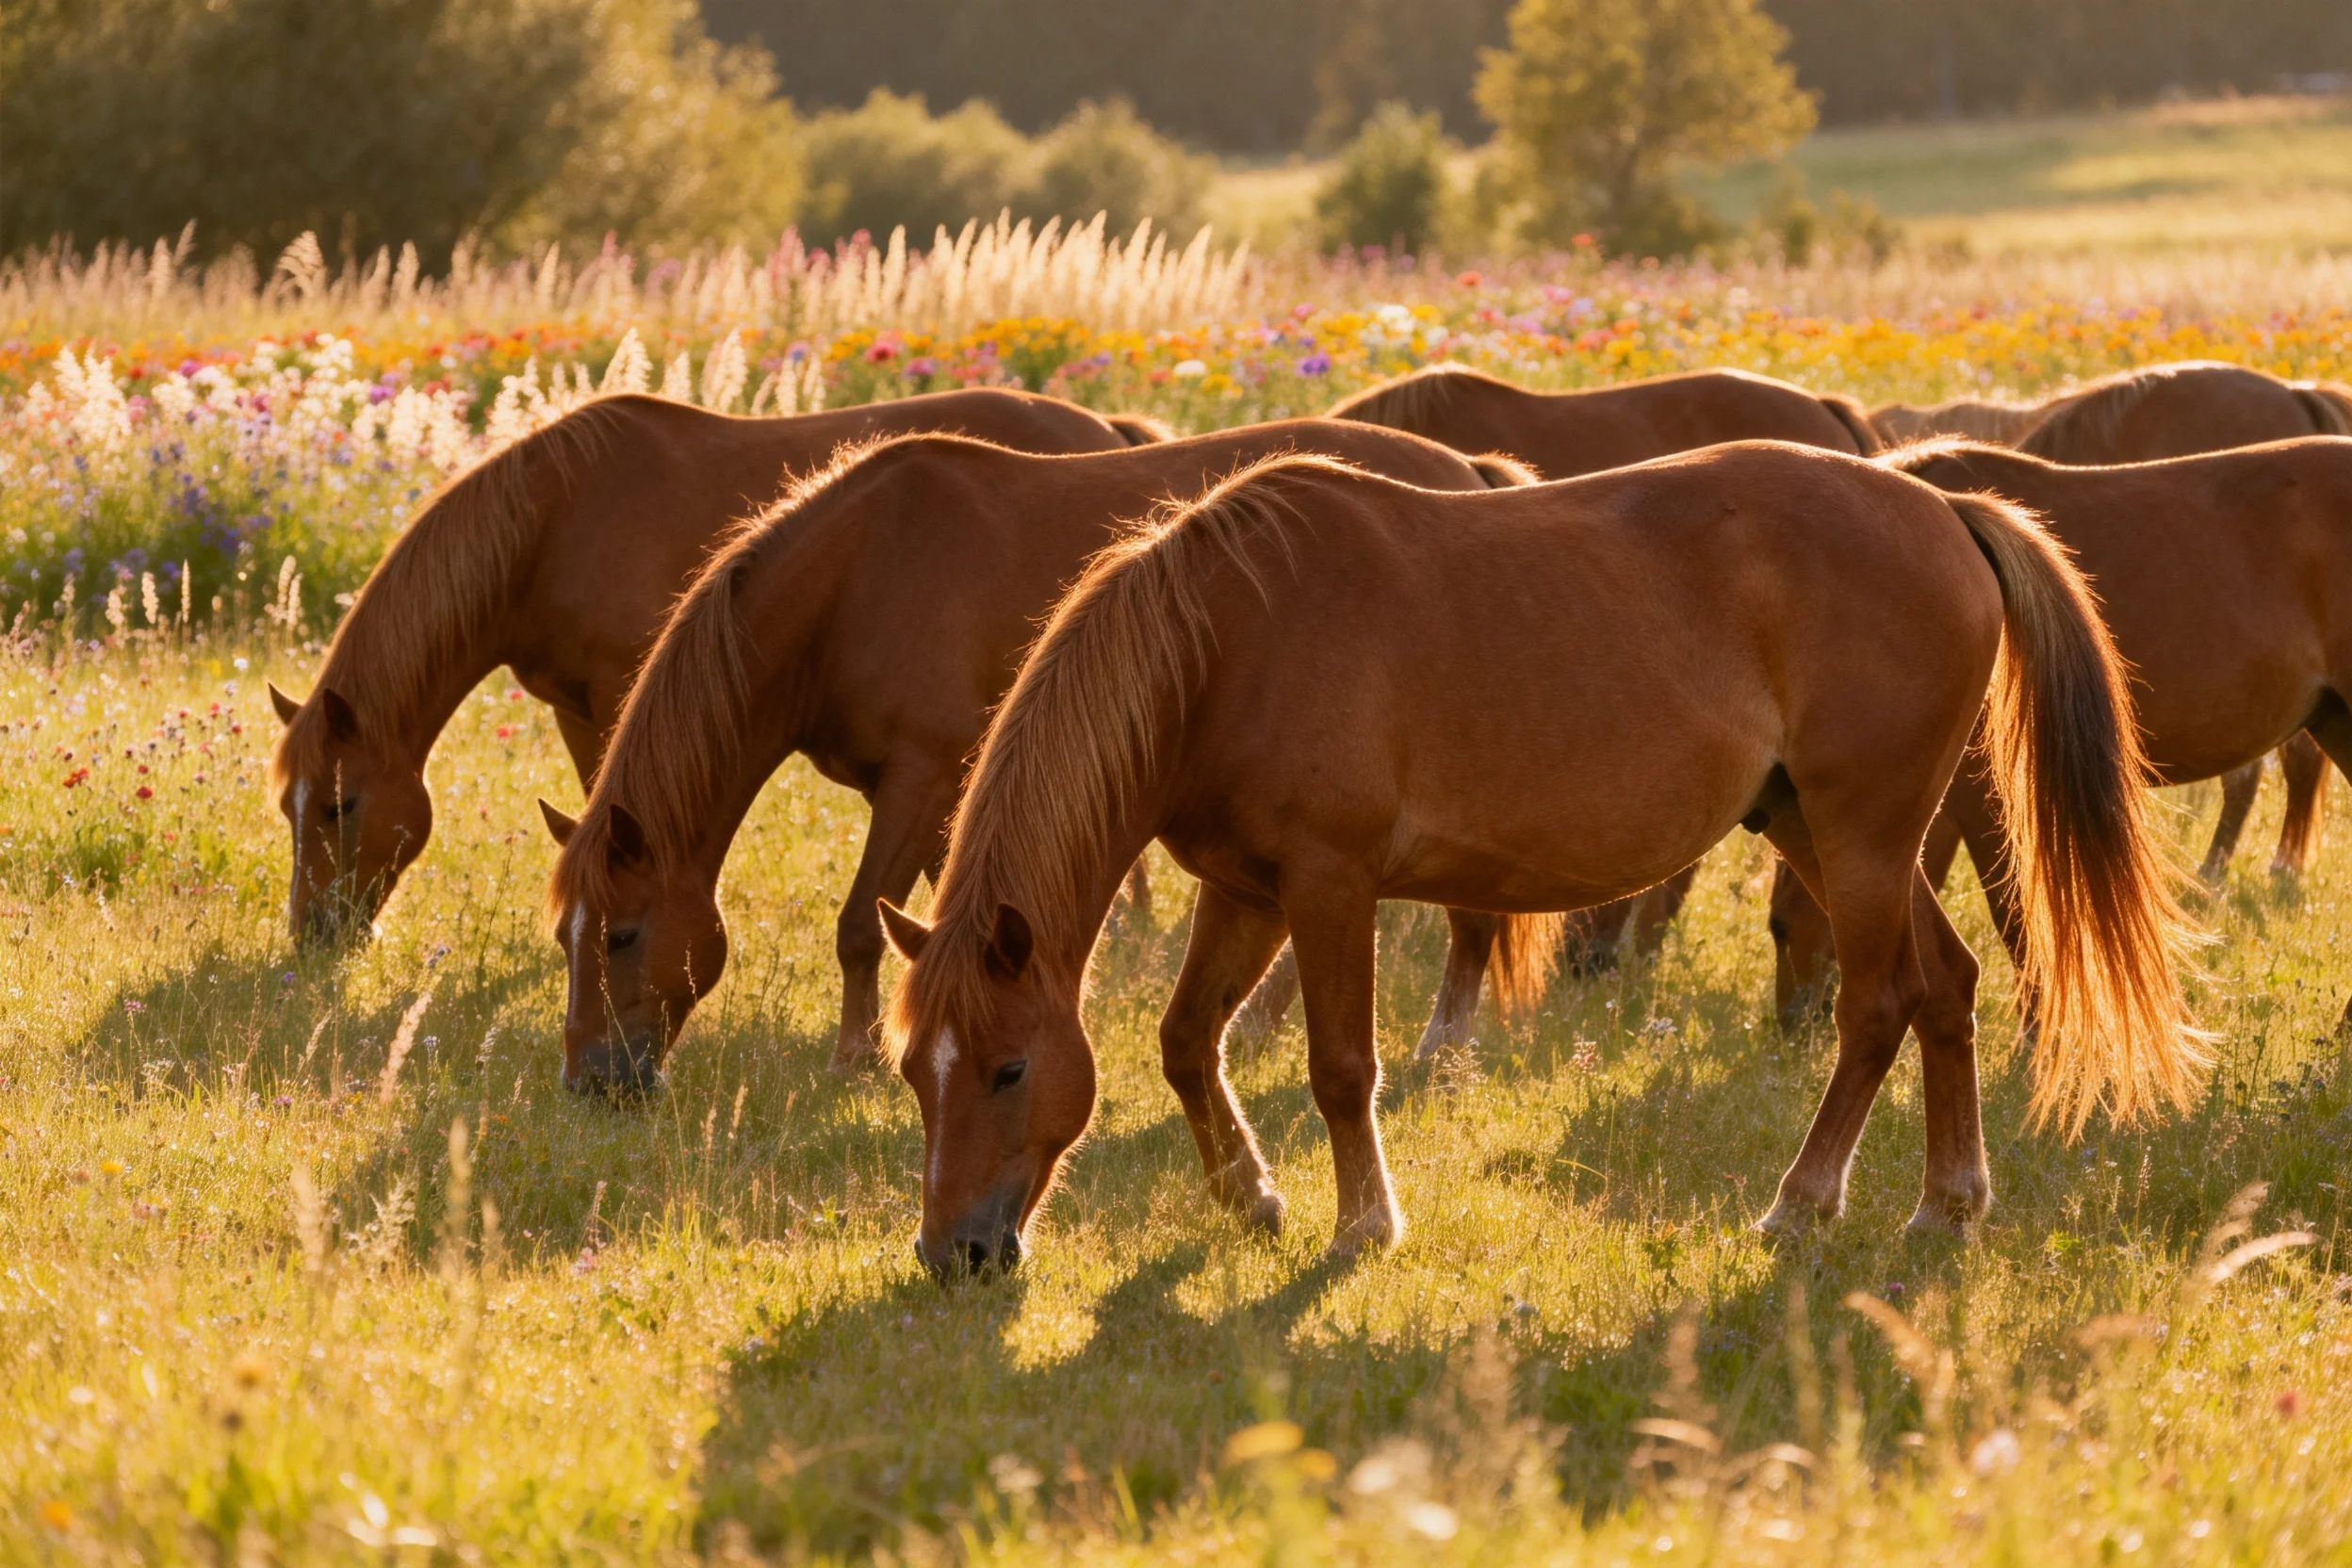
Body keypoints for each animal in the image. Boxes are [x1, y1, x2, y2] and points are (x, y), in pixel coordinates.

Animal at [266, 388, 1145, 945]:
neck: (556, 519)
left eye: (340, 805)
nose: (314, 934)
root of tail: (1103, 430)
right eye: (288, 810)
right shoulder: (574, 706)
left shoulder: (619, 691)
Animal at [538, 422, 1533, 1094]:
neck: (858, 575)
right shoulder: (958, 798)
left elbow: (860, 925)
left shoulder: (919, 778)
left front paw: (855, 1058)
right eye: (566, 939)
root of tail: (1466, 471)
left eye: (622, 934)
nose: (591, 1083)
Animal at [879, 444, 2204, 1276]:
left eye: (1006, 1068)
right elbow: (1185, 1040)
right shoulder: (1245, 887)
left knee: (1876, 1005)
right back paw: (1946, 1204)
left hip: (1865, 834)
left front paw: (1363, 1225)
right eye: (911, 1074)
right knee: (1947, 988)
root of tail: (1947, 513)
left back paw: (1799, 1203)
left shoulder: (1329, 884)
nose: (955, 1255)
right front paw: (1250, 1196)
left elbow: (1340, 1065)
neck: (1224, 641)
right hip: (1816, 829)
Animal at [1773, 435, 2352, 1028]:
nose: (1791, 1022)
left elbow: (2017, 919)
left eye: (1778, 927)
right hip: (2337, 723)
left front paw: (2037, 1032)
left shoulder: (1981, 795)